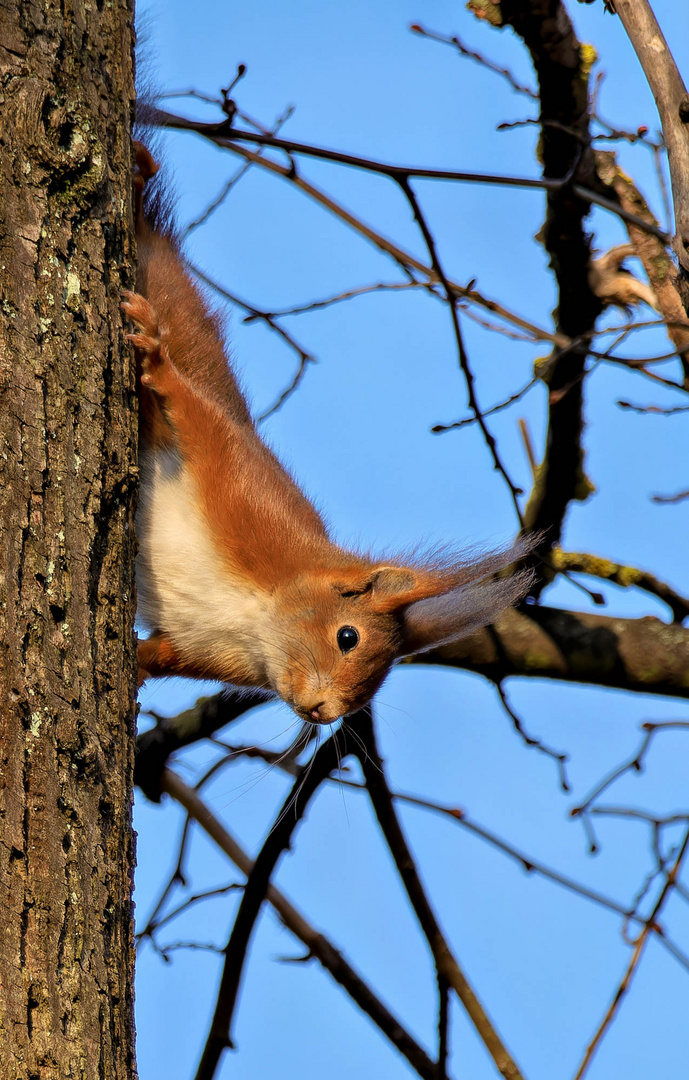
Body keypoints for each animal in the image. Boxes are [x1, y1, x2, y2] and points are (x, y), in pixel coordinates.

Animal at [124, 141, 535, 717]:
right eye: (347, 637)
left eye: (373, 687)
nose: (326, 712)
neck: (254, 613)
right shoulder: (241, 486)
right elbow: (193, 412)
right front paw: (158, 362)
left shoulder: (195, 648)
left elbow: (157, 654)